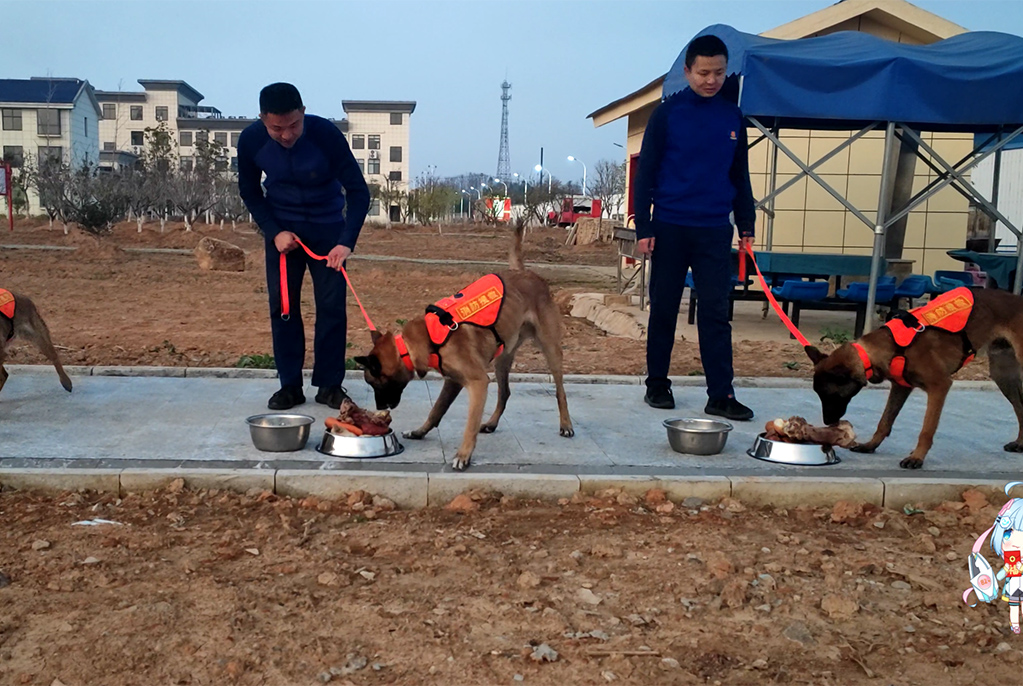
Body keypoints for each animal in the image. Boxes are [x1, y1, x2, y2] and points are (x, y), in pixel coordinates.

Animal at [356, 222, 572, 470]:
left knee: (560, 391)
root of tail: (526, 272)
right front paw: (420, 432)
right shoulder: (453, 381)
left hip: (550, 349)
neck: (424, 340)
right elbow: (436, 410)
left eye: (374, 384)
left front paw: (463, 455)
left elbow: (469, 425)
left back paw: (566, 425)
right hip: (503, 356)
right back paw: (492, 423)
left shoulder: (477, 383)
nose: (380, 408)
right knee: (505, 392)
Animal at [806, 286, 1023, 470]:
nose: (828, 421)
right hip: (1002, 375)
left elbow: (927, 429)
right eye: (819, 394)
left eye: (831, 395)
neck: (890, 348)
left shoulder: (939, 386)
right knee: (1020, 407)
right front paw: (871, 445)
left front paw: (917, 457)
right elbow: (884, 421)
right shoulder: (900, 387)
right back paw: (1020, 443)